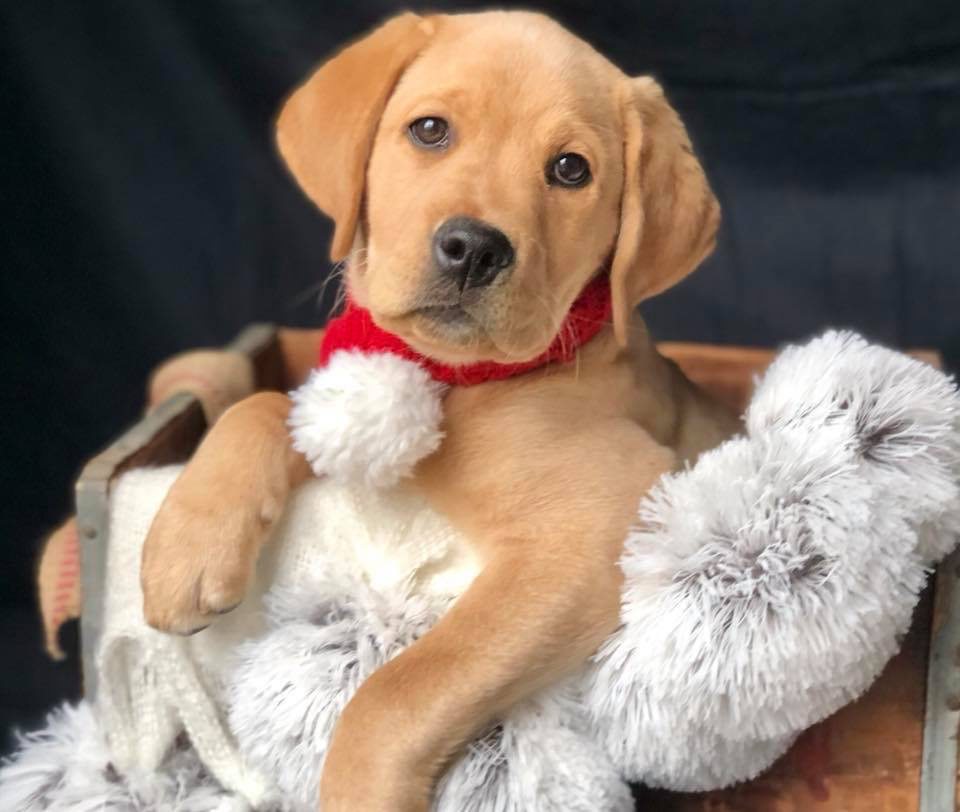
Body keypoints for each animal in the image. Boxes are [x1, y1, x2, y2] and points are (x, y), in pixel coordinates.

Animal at [141, 9, 744, 808]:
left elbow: (401, 689)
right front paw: (185, 542)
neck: (452, 380)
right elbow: (264, 402)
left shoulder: (597, 521)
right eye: (430, 130)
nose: (473, 248)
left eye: (571, 170)